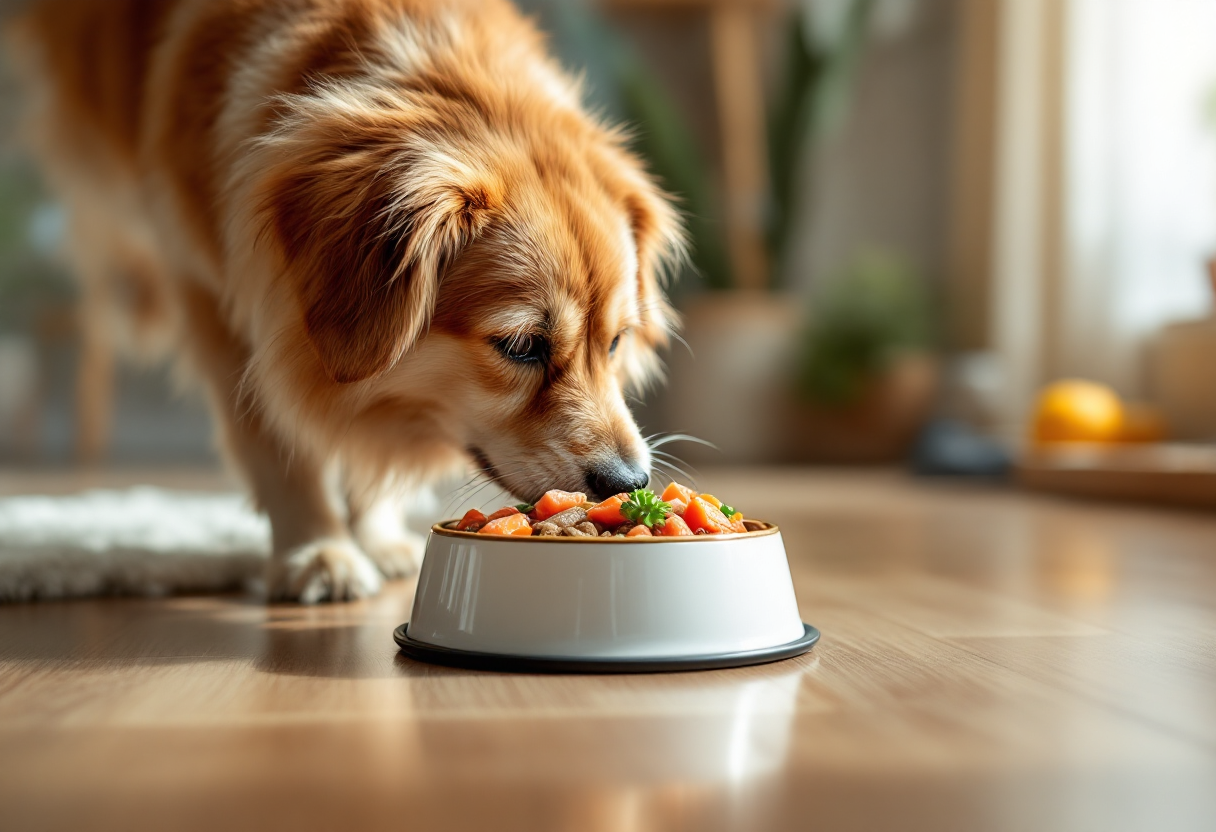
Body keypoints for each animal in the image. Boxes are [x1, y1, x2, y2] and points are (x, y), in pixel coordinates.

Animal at [11, 0, 685, 600]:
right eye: (521, 346)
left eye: (616, 342)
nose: (629, 481)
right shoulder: (223, 306)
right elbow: (280, 440)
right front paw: (318, 552)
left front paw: (377, 536)